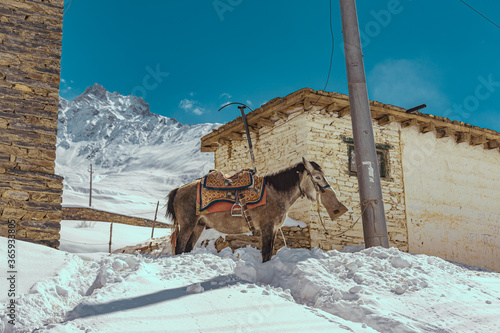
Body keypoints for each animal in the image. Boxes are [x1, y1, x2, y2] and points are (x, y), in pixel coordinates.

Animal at [166, 157, 346, 260]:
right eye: (317, 177)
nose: (330, 192)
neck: (276, 193)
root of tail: (179, 189)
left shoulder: (274, 230)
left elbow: (269, 253)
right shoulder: (267, 228)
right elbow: (266, 253)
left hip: (198, 225)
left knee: (186, 248)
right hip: (188, 224)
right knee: (180, 247)